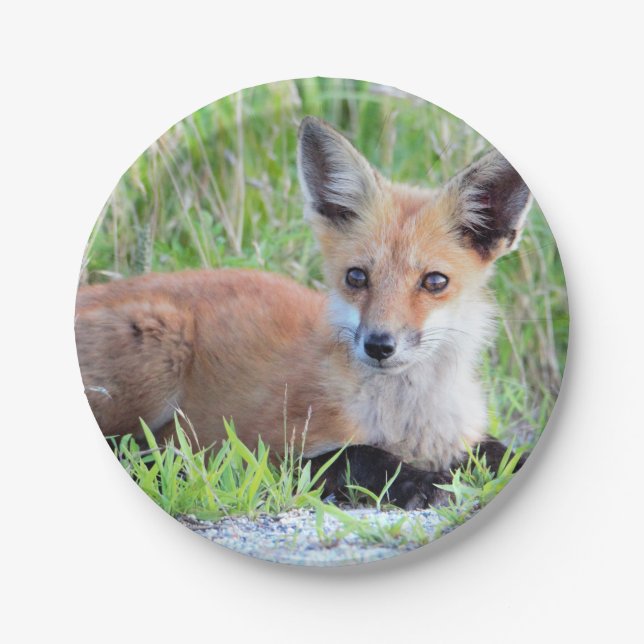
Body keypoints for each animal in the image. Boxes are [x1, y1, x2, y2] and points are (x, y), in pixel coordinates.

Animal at [75, 116, 532, 509]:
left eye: (434, 282)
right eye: (356, 277)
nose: (379, 345)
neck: (407, 422)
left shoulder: (459, 436)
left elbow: (500, 451)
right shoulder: (270, 452)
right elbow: (359, 455)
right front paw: (420, 482)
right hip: (160, 351)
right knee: (129, 448)